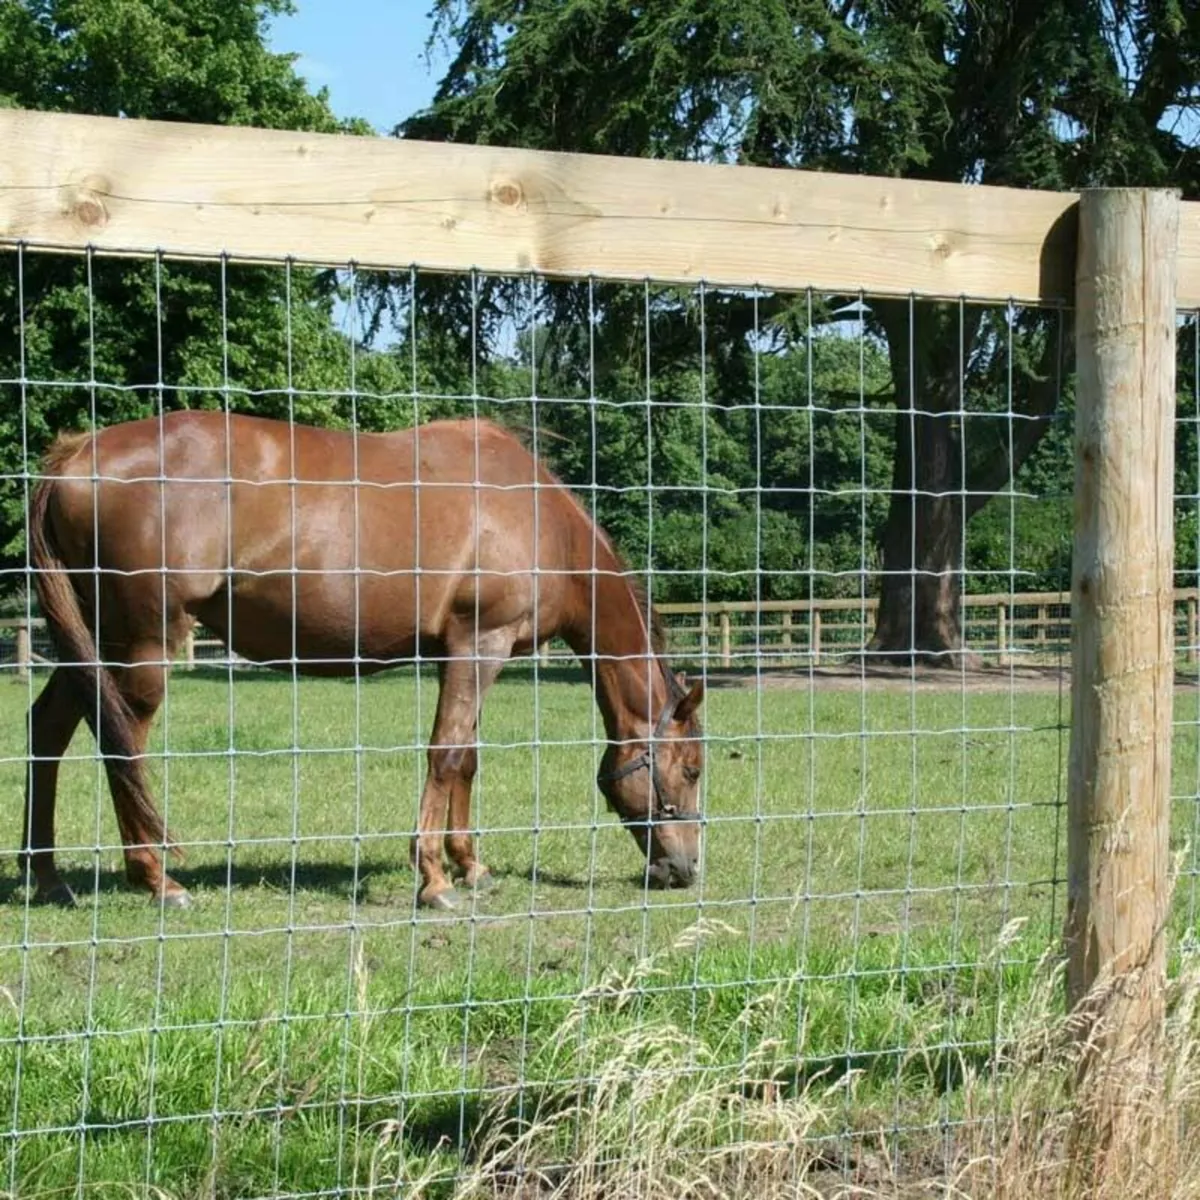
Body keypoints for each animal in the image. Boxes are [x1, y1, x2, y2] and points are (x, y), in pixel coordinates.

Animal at [20, 410, 705, 911]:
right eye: (692, 769)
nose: (686, 868)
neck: (537, 519)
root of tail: (78, 456)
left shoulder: (467, 653)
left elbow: (466, 758)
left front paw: (470, 865)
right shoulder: (480, 642)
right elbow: (446, 754)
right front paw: (434, 880)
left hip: (95, 643)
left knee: (48, 727)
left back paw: (46, 876)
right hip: (142, 643)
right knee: (122, 747)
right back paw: (157, 879)